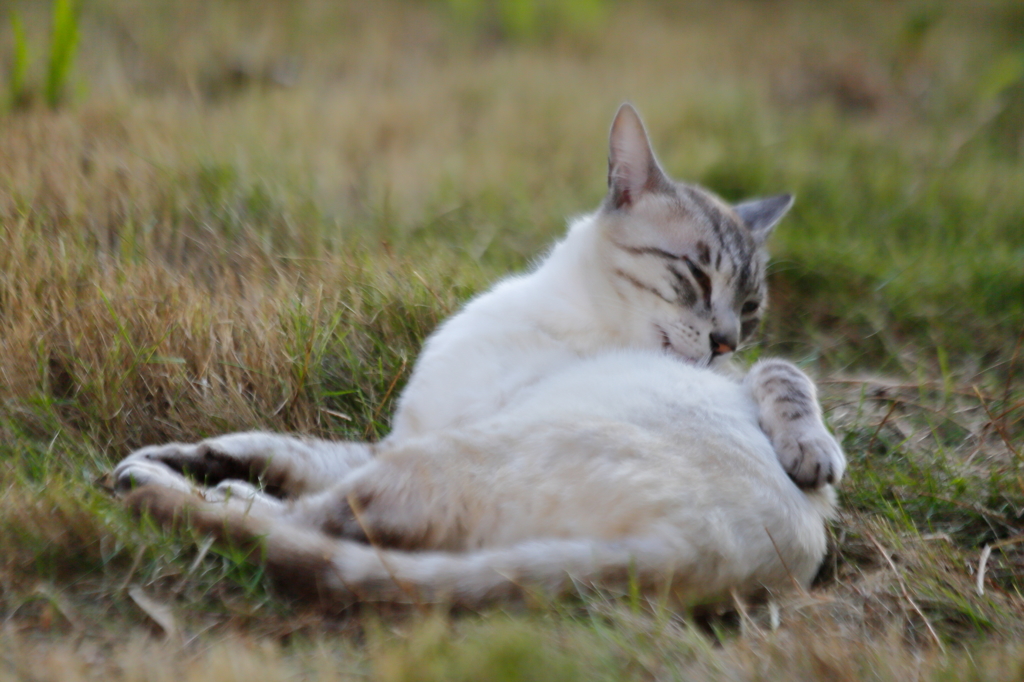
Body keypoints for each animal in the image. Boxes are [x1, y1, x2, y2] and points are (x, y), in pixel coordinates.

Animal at [116, 102, 843, 606]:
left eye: (750, 308)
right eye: (696, 276)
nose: (727, 343)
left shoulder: (418, 440)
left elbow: (303, 473)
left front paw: (174, 469)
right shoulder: (397, 434)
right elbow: (282, 445)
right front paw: (185, 451)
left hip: (450, 457)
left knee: (317, 522)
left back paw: (160, 485)